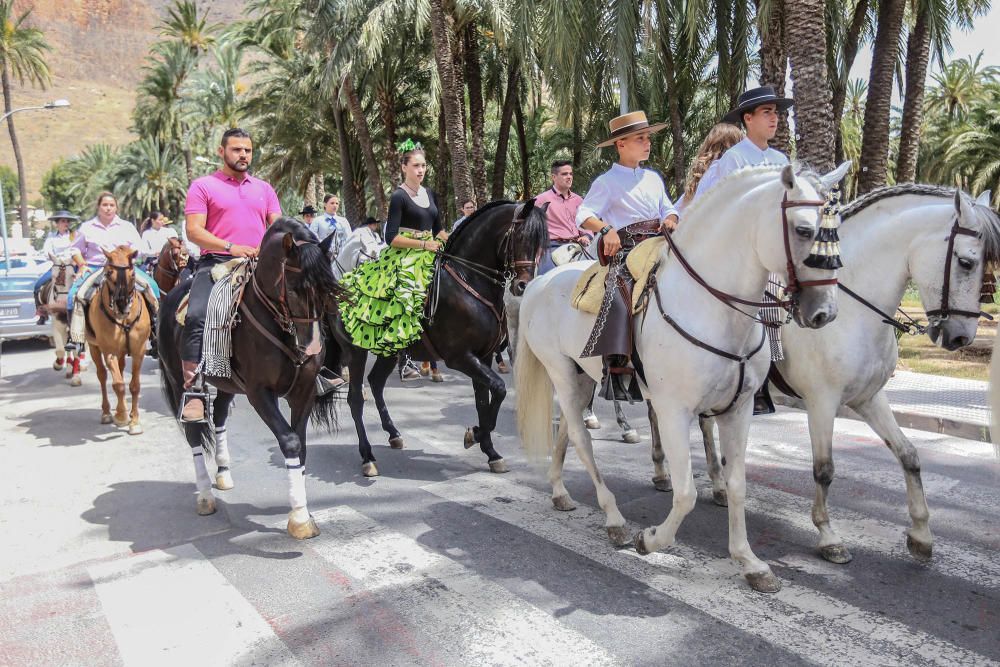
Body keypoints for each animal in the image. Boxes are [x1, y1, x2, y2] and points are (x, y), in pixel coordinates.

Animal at [157, 219, 344, 544]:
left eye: (327, 288)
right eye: (293, 288)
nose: (311, 348)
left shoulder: (304, 391)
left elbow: (302, 446)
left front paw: (303, 511)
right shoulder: (259, 393)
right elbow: (290, 441)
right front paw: (299, 519)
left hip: (227, 384)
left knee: (219, 415)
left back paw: (223, 472)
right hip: (180, 381)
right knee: (194, 431)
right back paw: (205, 496)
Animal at [516, 163, 852, 596]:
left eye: (836, 228)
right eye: (804, 230)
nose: (824, 312)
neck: (712, 308)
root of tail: (539, 283)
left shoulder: (739, 409)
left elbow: (737, 484)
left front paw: (750, 562)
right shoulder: (674, 410)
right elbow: (686, 493)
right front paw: (651, 539)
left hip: (582, 376)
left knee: (566, 434)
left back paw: (559, 492)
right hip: (559, 370)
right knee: (580, 438)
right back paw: (614, 520)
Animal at [672, 187, 1000, 564]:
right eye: (967, 262)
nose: (962, 337)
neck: (854, 310)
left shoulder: (869, 398)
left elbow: (909, 455)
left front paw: (921, 534)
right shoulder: (822, 402)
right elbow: (824, 469)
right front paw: (828, 536)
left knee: (706, 425)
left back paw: (717, 485)